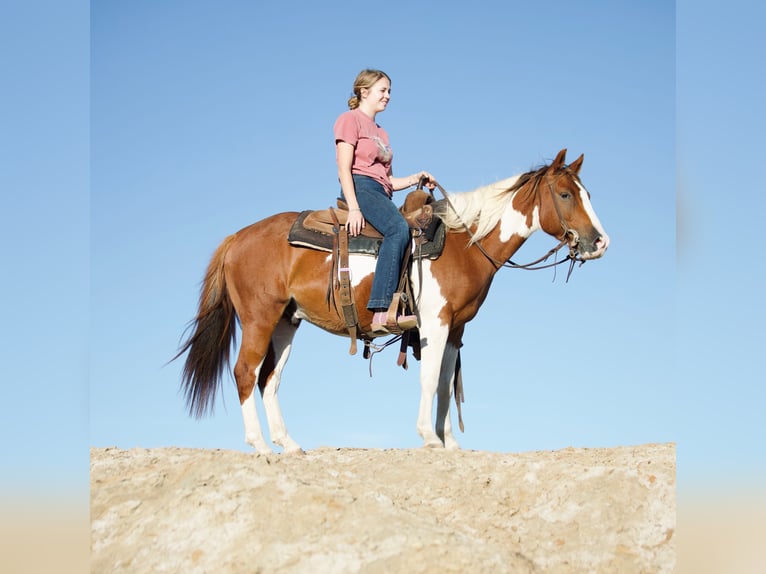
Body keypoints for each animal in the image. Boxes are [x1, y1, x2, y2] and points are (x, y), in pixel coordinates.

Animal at [175, 149, 609, 453]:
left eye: (588, 193)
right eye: (566, 194)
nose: (600, 242)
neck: (463, 243)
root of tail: (238, 237)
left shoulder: (455, 329)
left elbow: (444, 383)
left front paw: (450, 443)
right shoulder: (434, 322)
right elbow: (429, 378)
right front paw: (428, 438)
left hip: (285, 322)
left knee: (270, 378)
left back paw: (289, 444)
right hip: (259, 318)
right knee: (245, 372)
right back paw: (261, 446)